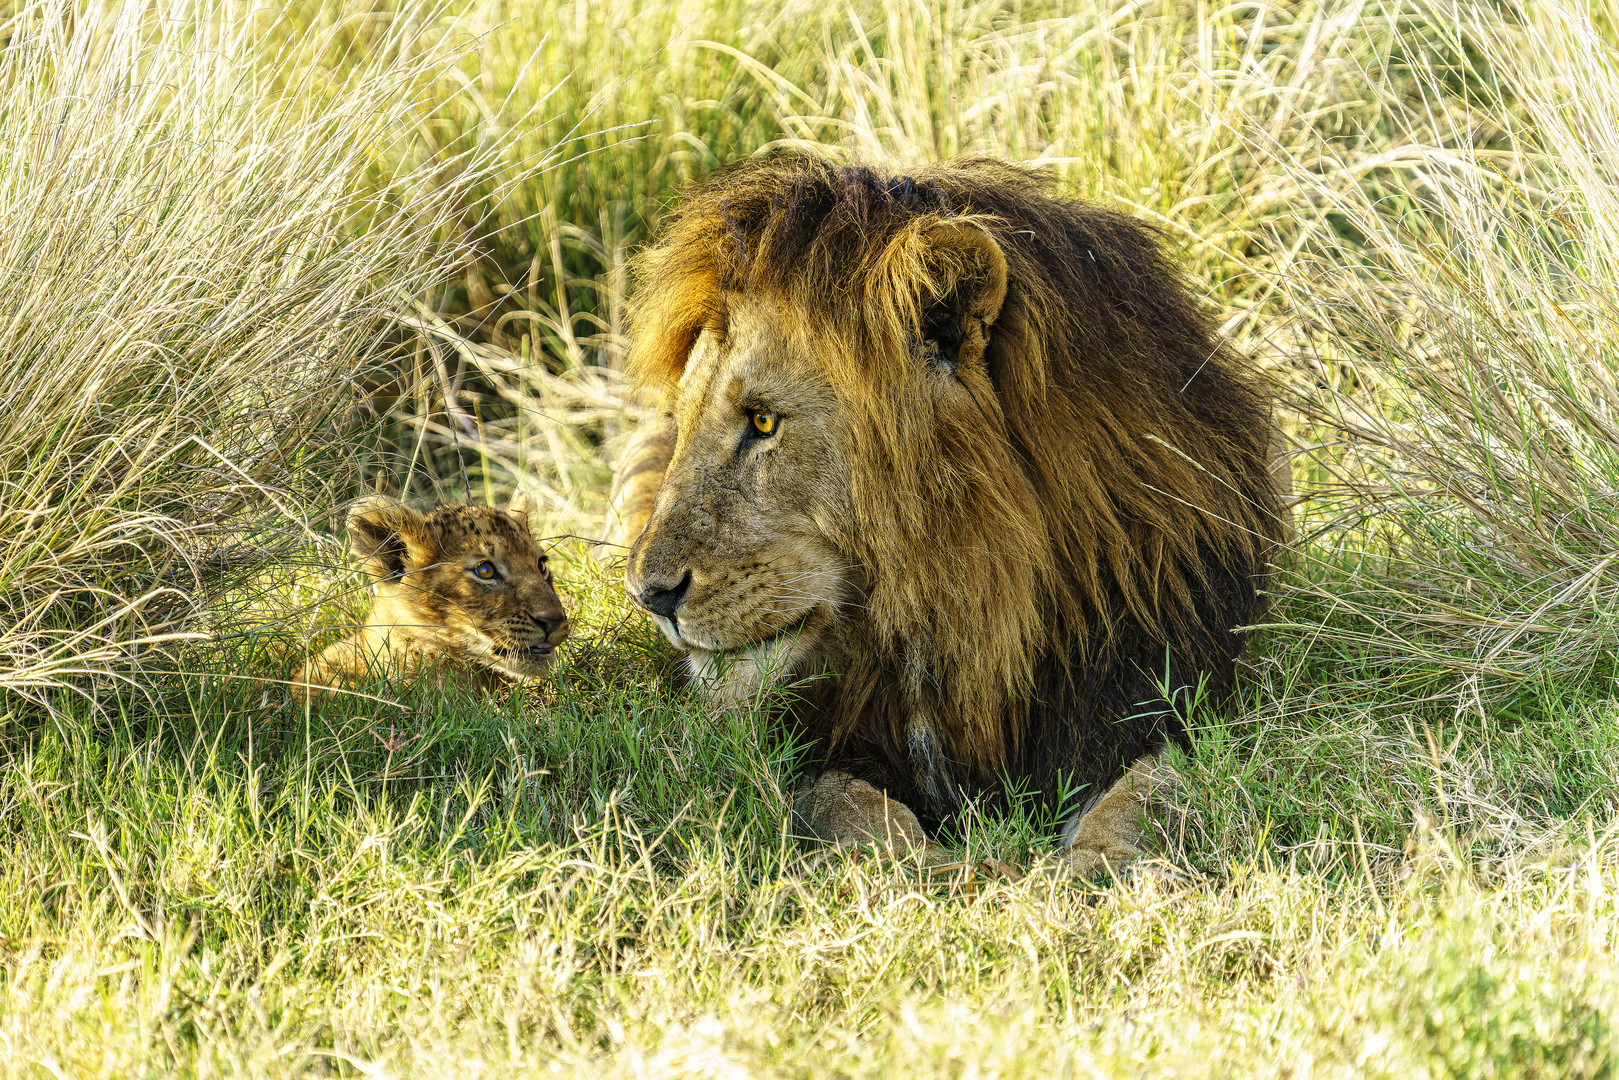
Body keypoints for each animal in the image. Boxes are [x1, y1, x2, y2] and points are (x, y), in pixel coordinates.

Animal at [611, 153, 1282, 880]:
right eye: (682, 417)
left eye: (762, 421)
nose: (649, 596)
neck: (968, 614)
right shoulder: (817, 749)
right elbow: (846, 802)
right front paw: (935, 870)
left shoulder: (1159, 697)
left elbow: (1153, 787)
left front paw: (1093, 867)